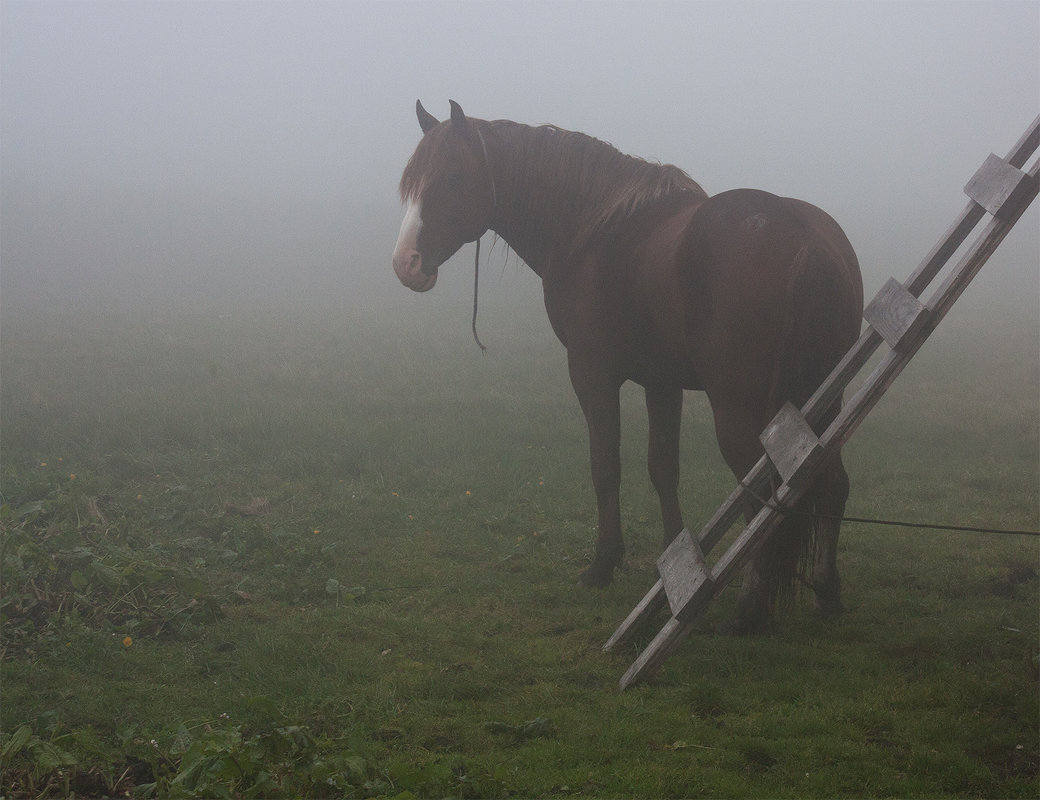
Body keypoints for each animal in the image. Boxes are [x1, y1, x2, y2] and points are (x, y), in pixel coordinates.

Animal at [391, 101, 861, 632]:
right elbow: (663, 468)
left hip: (743, 414)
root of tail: (806, 241)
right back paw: (824, 590)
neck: (591, 231)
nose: (405, 263)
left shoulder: (592, 374)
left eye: (452, 177)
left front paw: (603, 565)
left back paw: (750, 605)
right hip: (823, 401)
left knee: (766, 496)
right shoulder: (662, 383)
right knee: (832, 483)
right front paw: (672, 564)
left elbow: (606, 465)